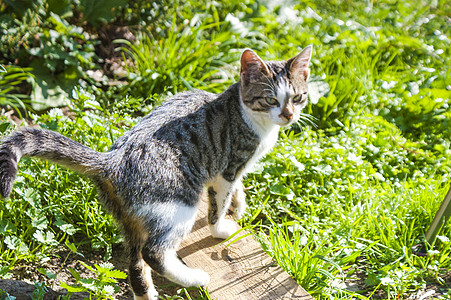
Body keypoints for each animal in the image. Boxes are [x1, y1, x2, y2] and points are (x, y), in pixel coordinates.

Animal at [0, 45, 310, 298]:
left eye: (297, 97)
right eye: (270, 100)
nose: (288, 115)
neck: (248, 115)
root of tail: (112, 160)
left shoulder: (235, 168)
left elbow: (238, 187)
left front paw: (239, 203)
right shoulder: (228, 167)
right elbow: (218, 204)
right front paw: (221, 228)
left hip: (129, 217)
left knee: (136, 264)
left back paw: (148, 292)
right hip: (179, 202)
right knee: (153, 253)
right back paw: (195, 278)